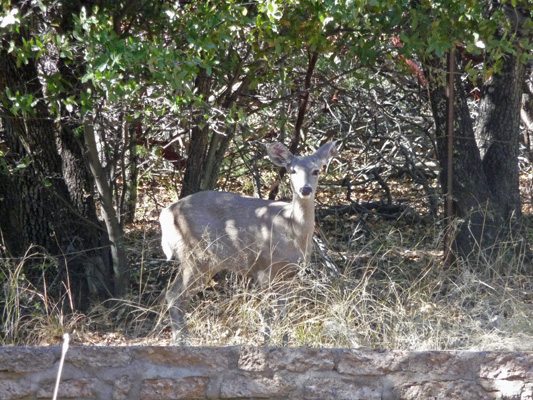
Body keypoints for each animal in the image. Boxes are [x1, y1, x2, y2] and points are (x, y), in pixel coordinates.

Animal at [160, 141, 338, 344]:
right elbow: (268, 314)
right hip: (196, 255)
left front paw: (285, 343)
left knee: (177, 297)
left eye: (316, 170)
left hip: (203, 261)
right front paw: (267, 343)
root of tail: (165, 214)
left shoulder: (289, 274)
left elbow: (284, 313)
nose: (305, 189)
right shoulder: (262, 267)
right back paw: (182, 341)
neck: (291, 228)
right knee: (174, 296)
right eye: (292, 170)